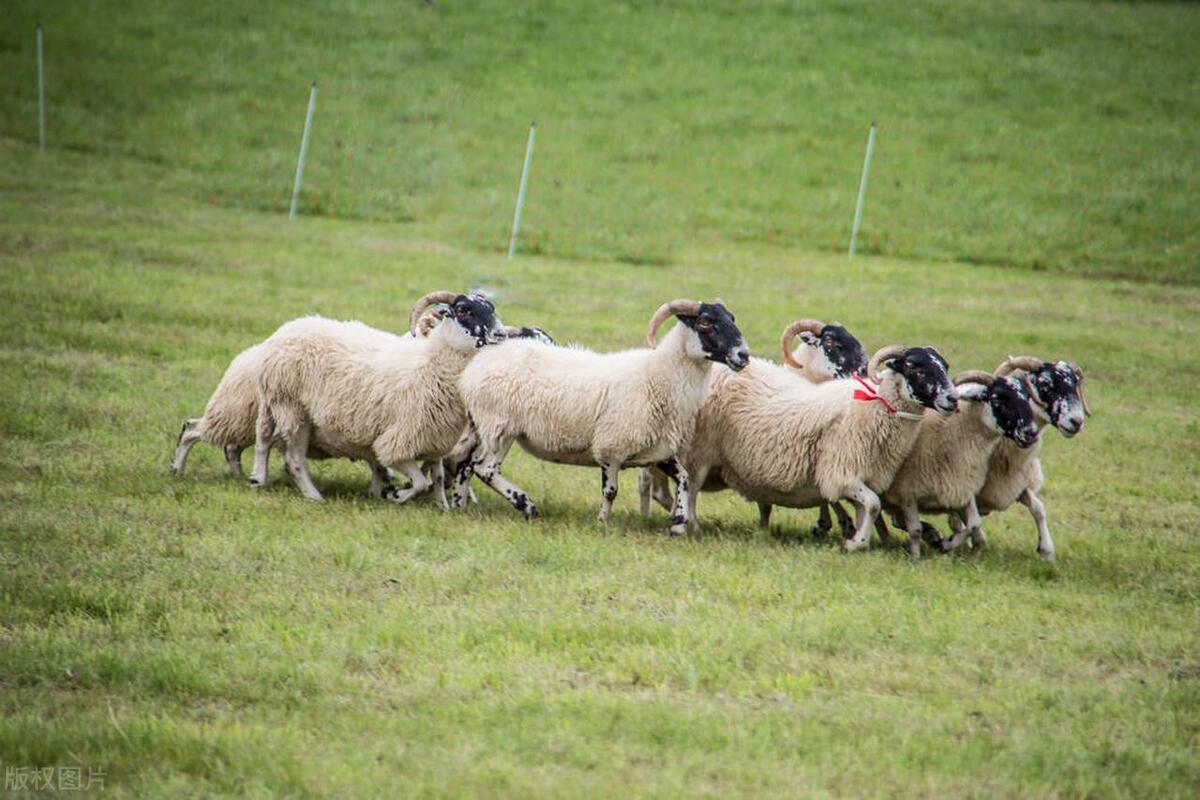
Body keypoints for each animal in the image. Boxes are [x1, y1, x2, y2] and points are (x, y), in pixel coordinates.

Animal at [248, 287, 501, 503]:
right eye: (464, 311)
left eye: (492, 309)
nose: (499, 333)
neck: (430, 363)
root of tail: (285, 330)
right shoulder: (395, 444)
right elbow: (418, 482)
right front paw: (395, 495)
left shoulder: (434, 443)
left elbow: (434, 478)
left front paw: (436, 505)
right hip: (293, 408)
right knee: (294, 459)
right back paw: (313, 496)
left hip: (273, 401)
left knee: (263, 438)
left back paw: (257, 479)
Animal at [667, 345, 955, 551]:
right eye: (916, 368)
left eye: (944, 367)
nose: (952, 399)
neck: (874, 406)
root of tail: (717, 369)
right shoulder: (840, 472)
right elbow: (873, 504)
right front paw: (855, 544)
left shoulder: (866, 475)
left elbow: (867, 509)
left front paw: (859, 538)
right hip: (700, 453)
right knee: (691, 490)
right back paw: (691, 526)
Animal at [873, 369, 1041, 556]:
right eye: (997, 399)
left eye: (1027, 398)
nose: (1031, 433)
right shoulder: (906, 491)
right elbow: (914, 528)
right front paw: (931, 548)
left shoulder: (962, 483)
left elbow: (974, 523)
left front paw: (947, 543)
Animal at [940, 352, 1094, 561]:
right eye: (1045, 383)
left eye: (1075, 383)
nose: (1076, 421)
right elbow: (968, 520)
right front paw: (958, 542)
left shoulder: (1016, 483)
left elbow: (1038, 508)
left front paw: (1046, 550)